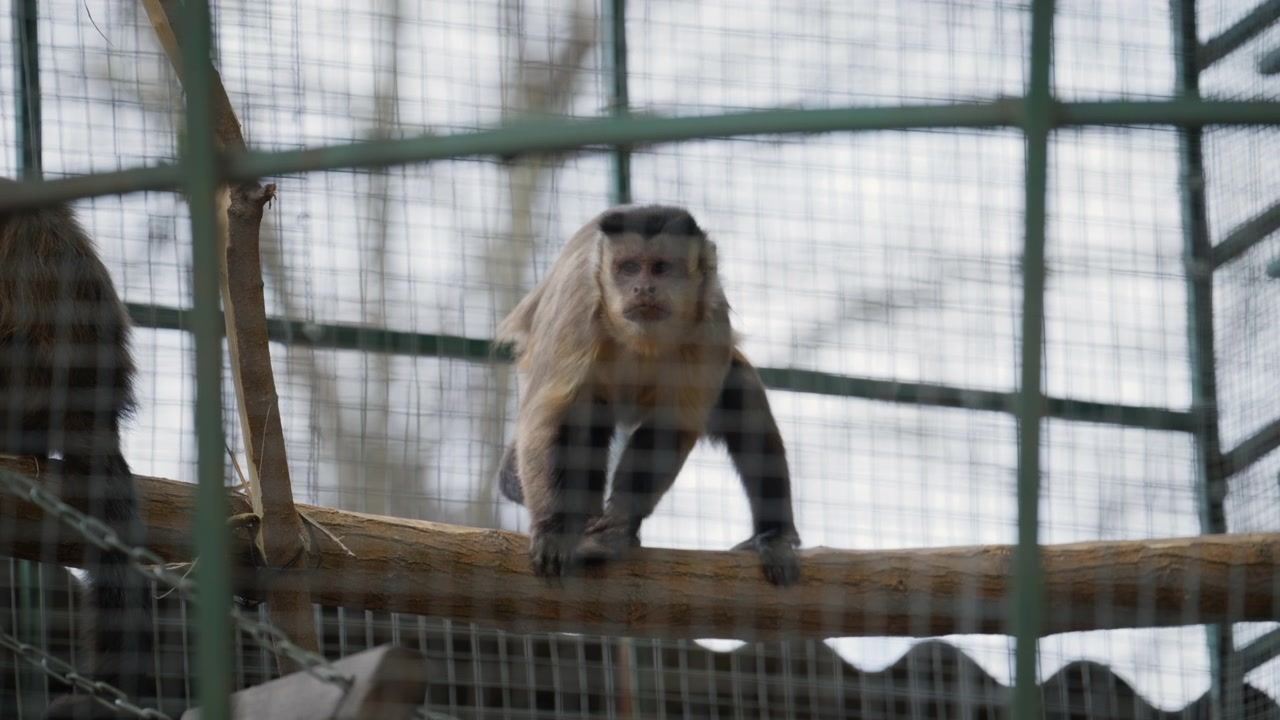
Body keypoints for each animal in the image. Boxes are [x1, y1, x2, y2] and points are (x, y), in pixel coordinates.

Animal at [495, 204, 801, 586]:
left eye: (660, 268)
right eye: (628, 268)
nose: (642, 288)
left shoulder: (710, 320)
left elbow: (672, 425)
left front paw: (620, 522)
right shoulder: (577, 305)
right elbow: (553, 412)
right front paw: (555, 528)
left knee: (741, 395)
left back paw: (772, 536)